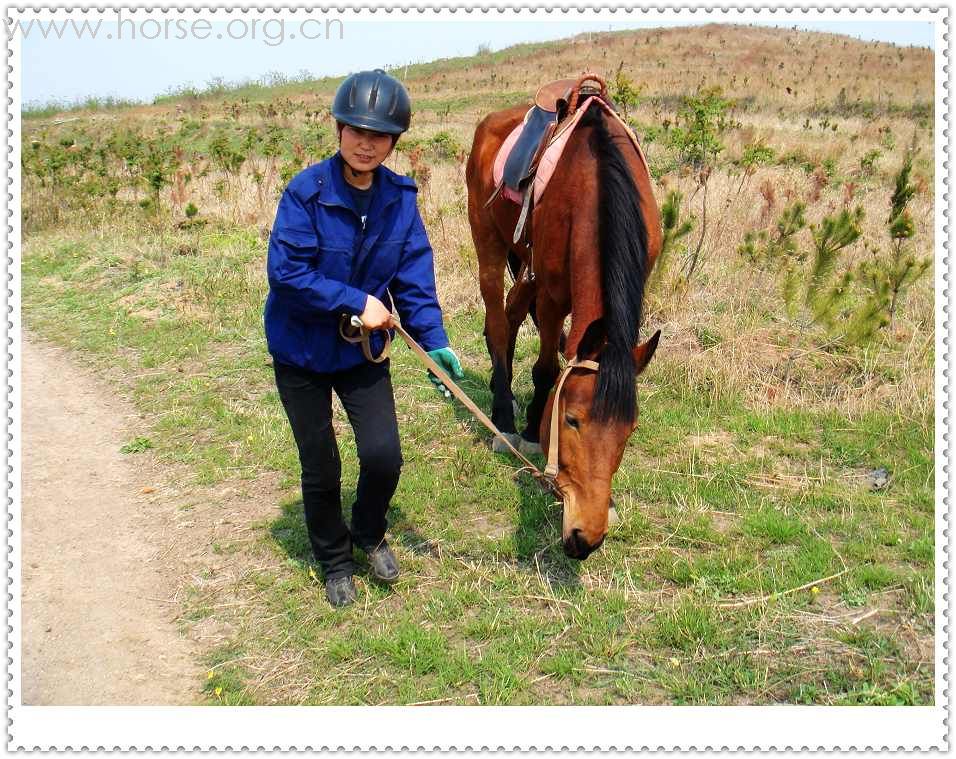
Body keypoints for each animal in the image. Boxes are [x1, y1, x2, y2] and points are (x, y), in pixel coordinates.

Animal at [466, 92, 660, 560]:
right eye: (571, 421)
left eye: (630, 430)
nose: (584, 539)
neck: (595, 185)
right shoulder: (552, 295)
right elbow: (547, 369)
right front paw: (533, 428)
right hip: (489, 242)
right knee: (497, 321)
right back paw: (503, 419)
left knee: (512, 314)